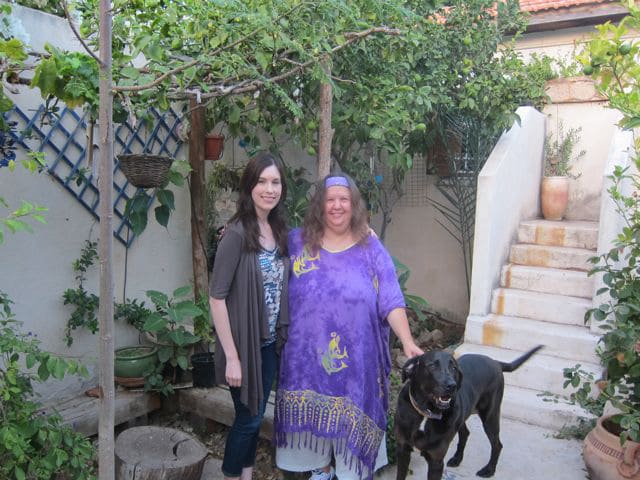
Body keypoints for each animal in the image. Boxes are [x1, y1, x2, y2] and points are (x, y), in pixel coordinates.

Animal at [392, 344, 544, 480]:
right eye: (432, 366)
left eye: (453, 368)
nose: (452, 386)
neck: (425, 412)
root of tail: (495, 362)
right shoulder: (402, 450)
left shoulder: (436, 461)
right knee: (465, 433)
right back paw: (457, 459)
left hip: (490, 417)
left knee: (497, 445)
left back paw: (489, 470)